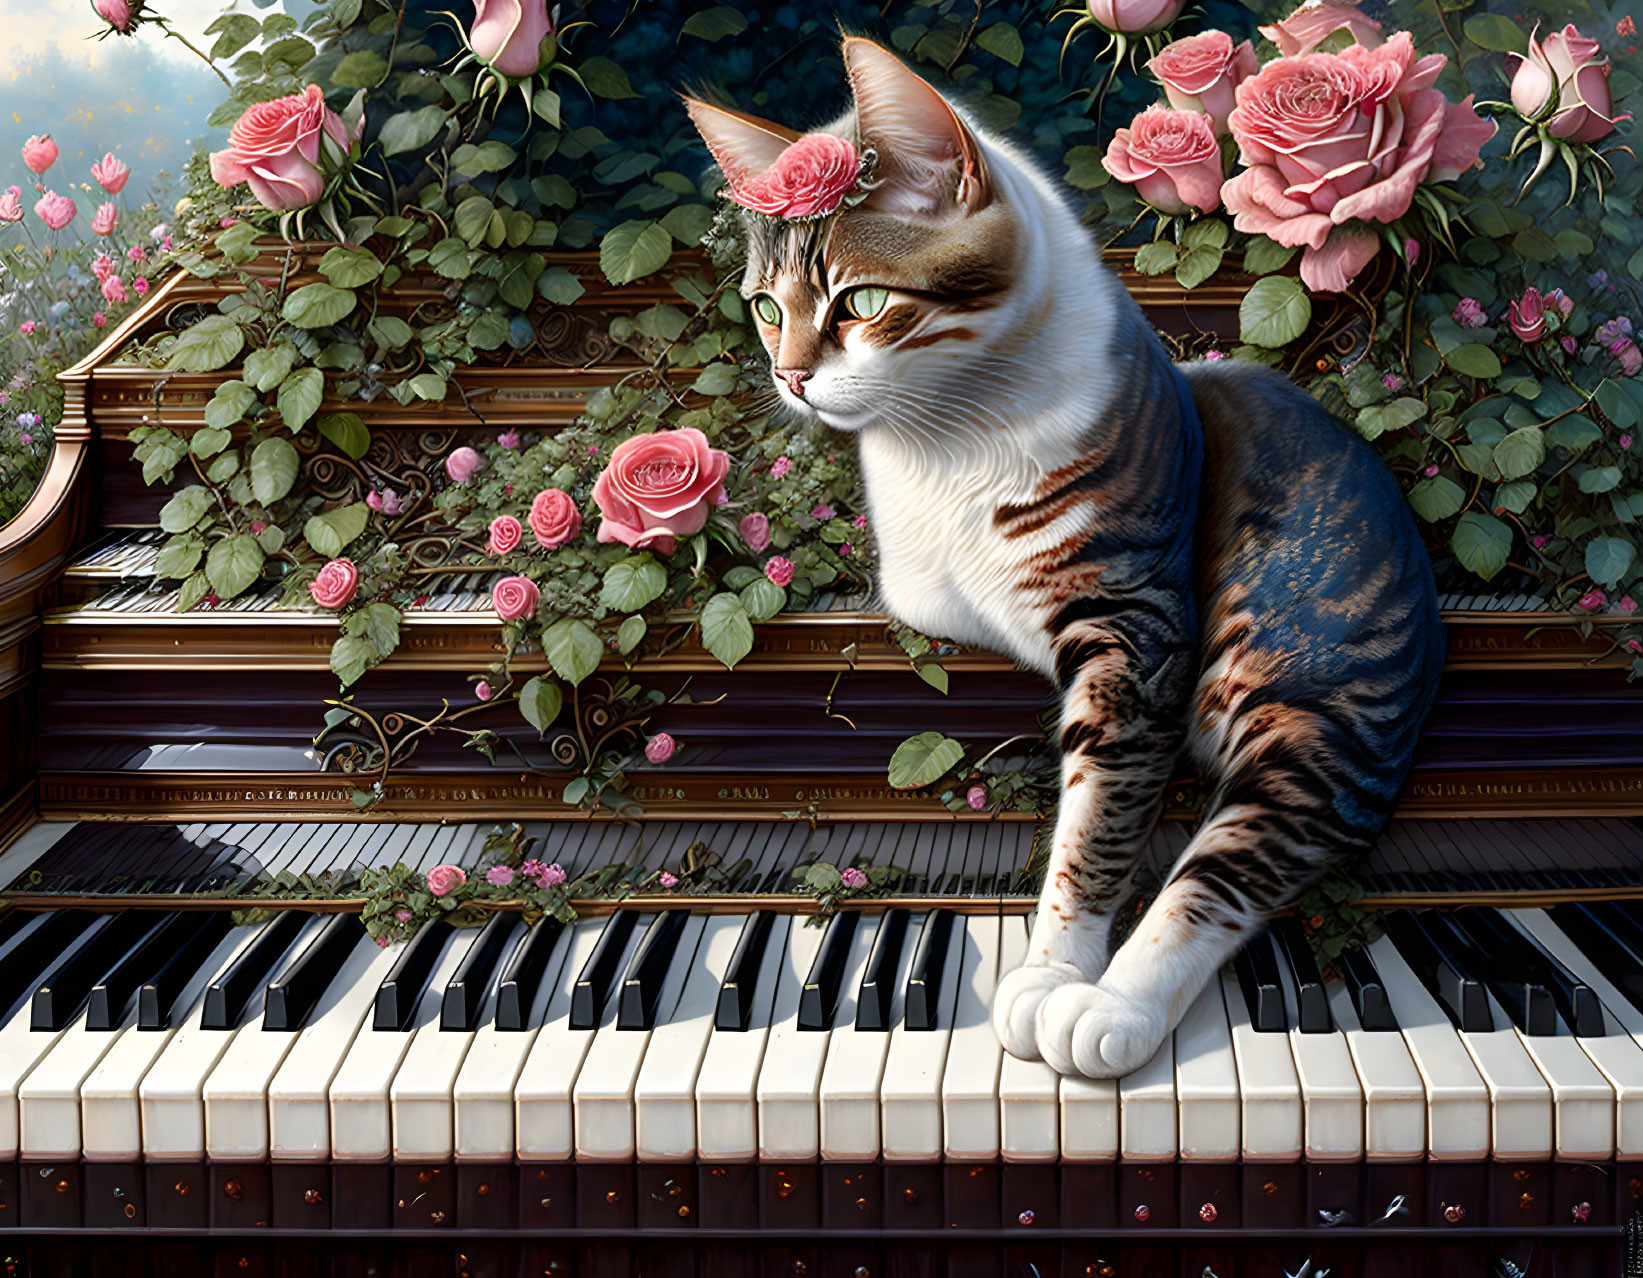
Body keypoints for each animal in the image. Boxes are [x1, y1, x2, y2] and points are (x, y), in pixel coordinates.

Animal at [686, 37, 1445, 1077]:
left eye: (861, 302)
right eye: (766, 307)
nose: (790, 375)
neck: (947, 445)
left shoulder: (1136, 625)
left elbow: (1097, 815)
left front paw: (1052, 973)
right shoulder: (926, 599)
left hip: (1319, 712)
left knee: (1236, 861)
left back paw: (1114, 1005)